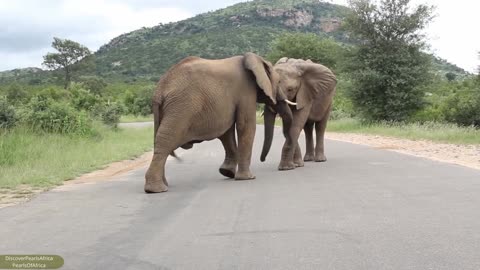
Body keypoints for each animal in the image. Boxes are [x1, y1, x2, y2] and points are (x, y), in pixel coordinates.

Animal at [145, 52, 296, 192]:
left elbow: (227, 133)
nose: (262, 159)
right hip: (181, 107)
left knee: (160, 141)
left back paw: (162, 185)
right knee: (166, 141)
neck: (251, 59)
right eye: (279, 82)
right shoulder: (246, 91)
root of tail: (159, 90)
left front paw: (227, 173)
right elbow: (245, 125)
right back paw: (156, 189)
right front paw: (247, 178)